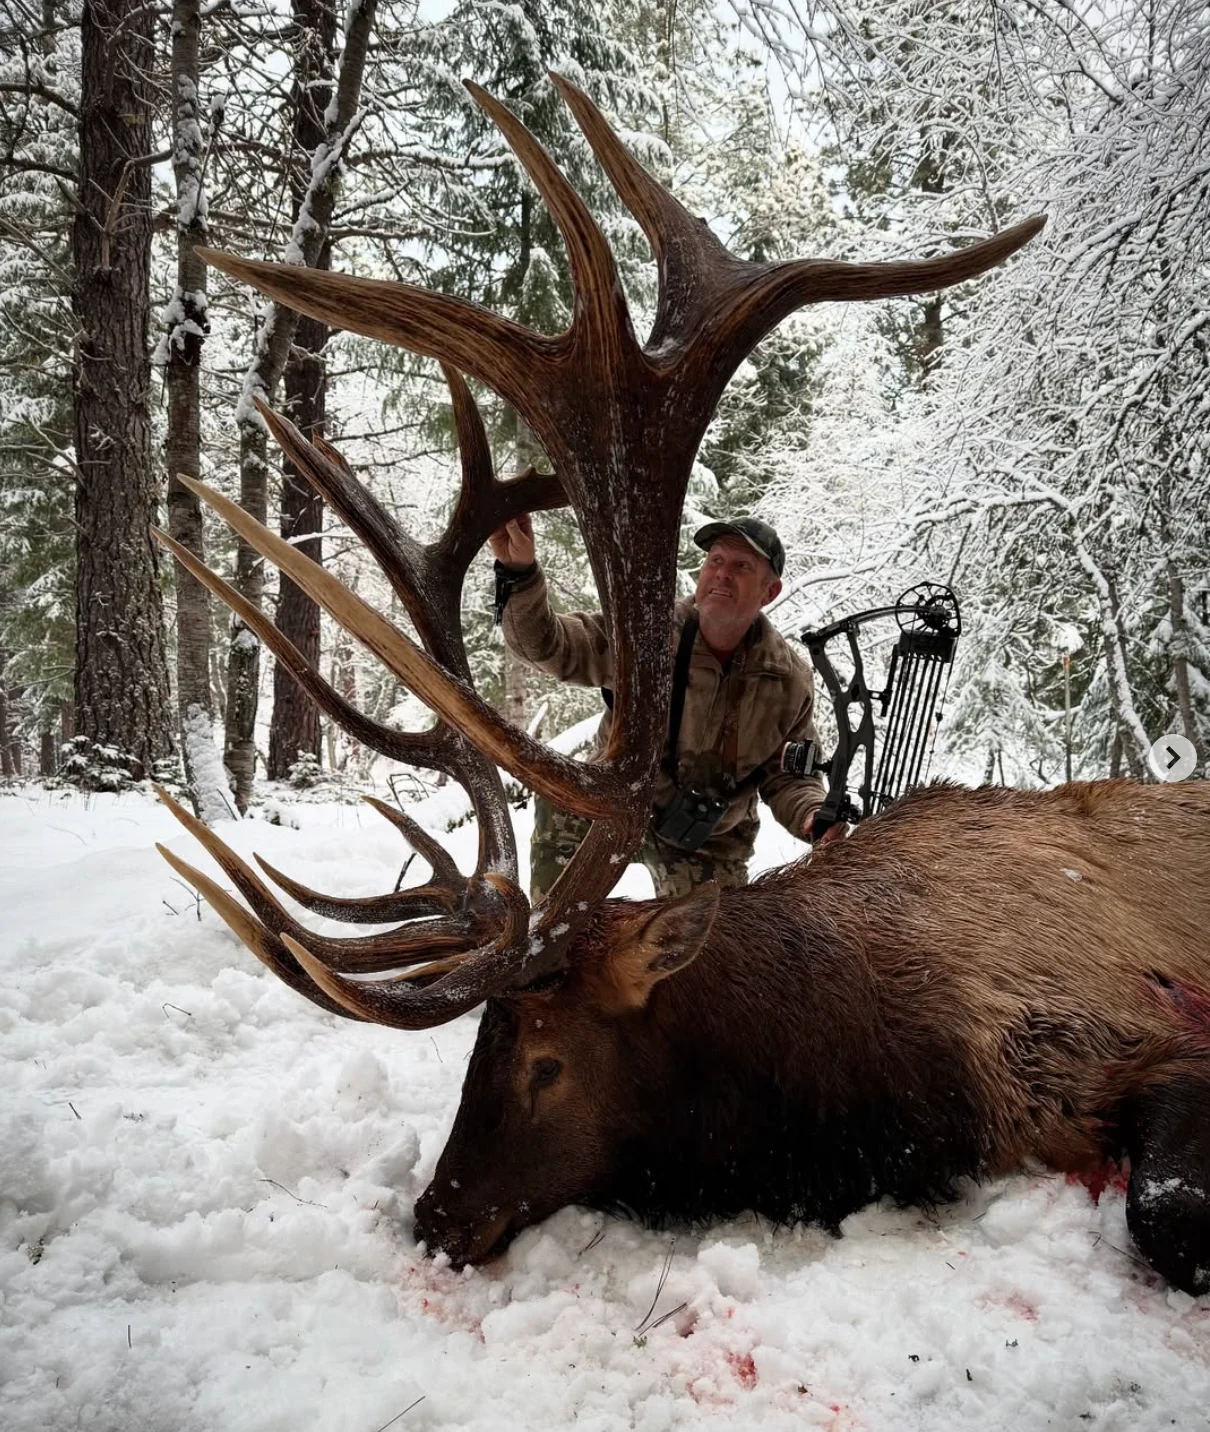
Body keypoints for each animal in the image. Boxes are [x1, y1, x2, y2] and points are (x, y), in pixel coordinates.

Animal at [153, 78, 1208, 1300]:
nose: (436, 1215)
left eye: (546, 1060)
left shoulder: (1149, 1025)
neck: (891, 1079)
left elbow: (1166, 1208)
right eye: (477, 1048)